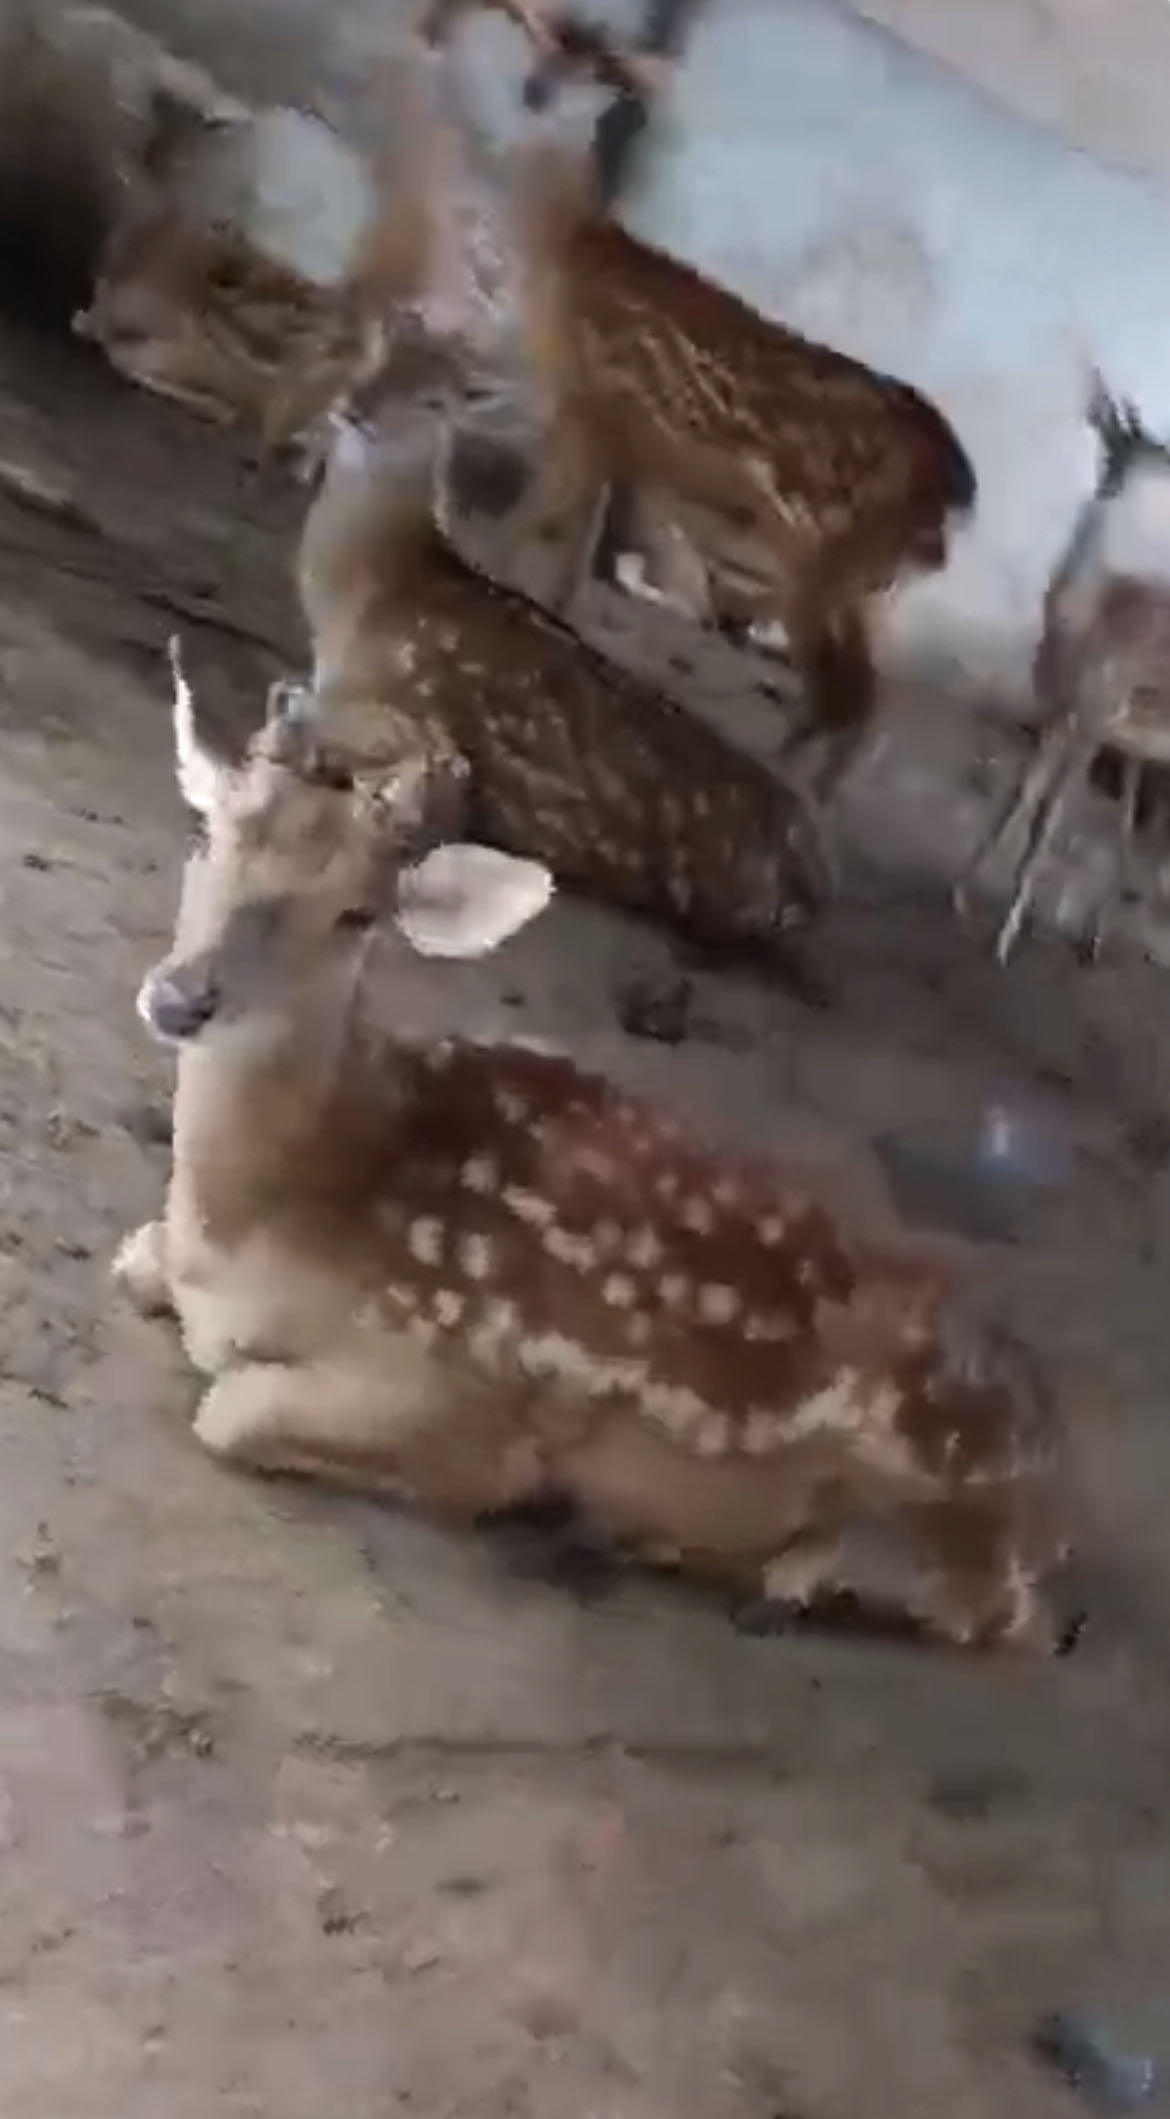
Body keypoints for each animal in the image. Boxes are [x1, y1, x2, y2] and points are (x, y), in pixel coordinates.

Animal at [112, 645, 1079, 1655]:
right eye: (208, 832)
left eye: (356, 913)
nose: (182, 998)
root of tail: (1057, 1481)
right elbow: (131, 1259)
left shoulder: (458, 1390)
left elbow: (232, 1410)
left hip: (943, 1490)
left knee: (998, 1614)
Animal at [962, 377, 1170, 964]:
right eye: (1108, 445)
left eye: (1139, 449)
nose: (1109, 484)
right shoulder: (1058, 713)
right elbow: (1021, 796)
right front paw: (965, 892)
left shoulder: (1093, 722)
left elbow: (1049, 815)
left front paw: (1004, 939)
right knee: (1132, 830)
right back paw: (1093, 938)